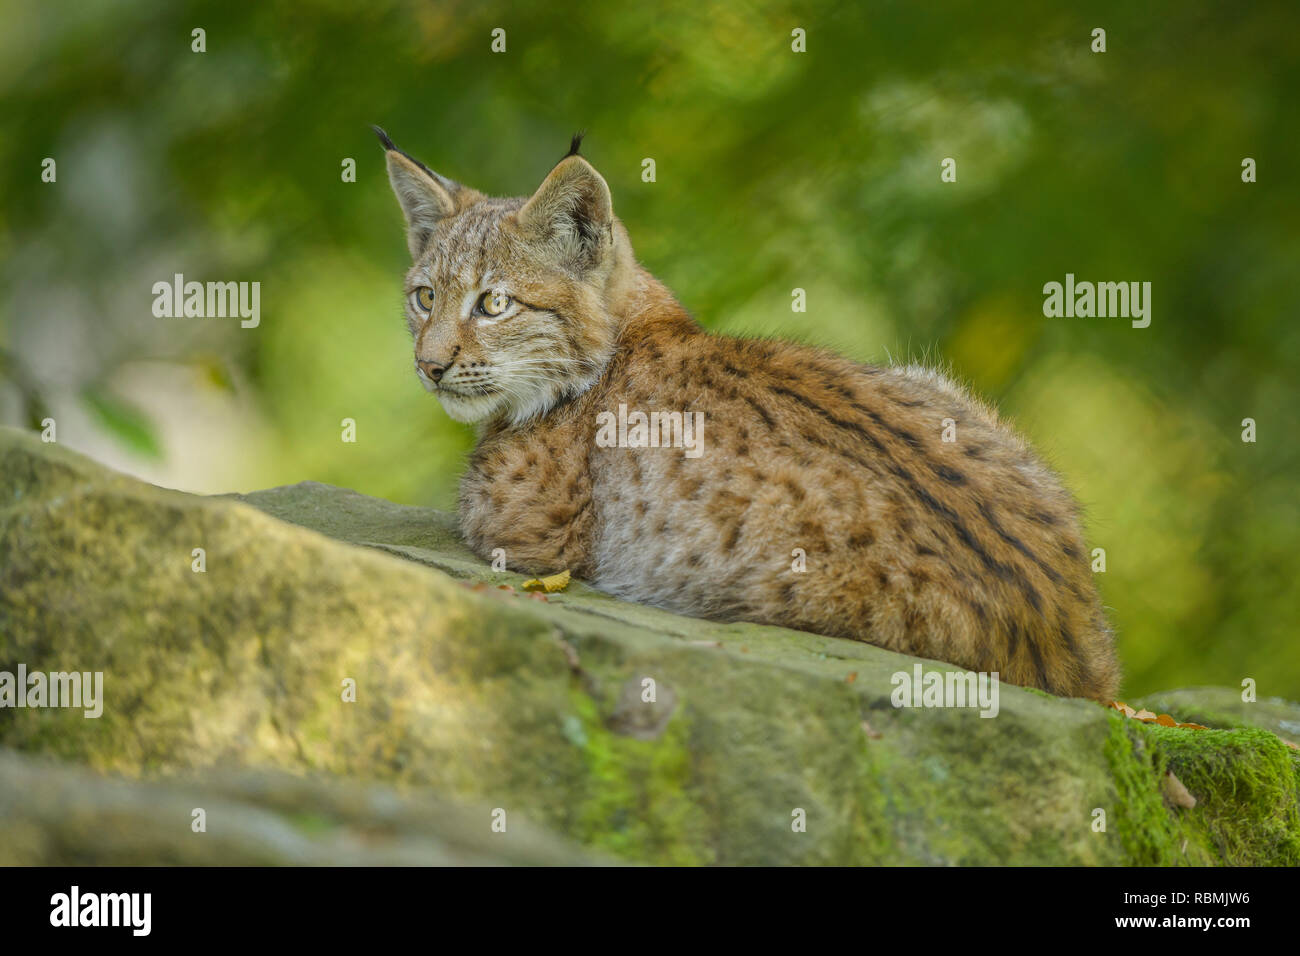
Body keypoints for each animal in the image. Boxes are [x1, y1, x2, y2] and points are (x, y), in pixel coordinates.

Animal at [374, 127, 1118, 697]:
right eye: (424, 296)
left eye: (494, 305)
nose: (428, 366)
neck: (630, 330)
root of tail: (1077, 652)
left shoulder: (519, 529)